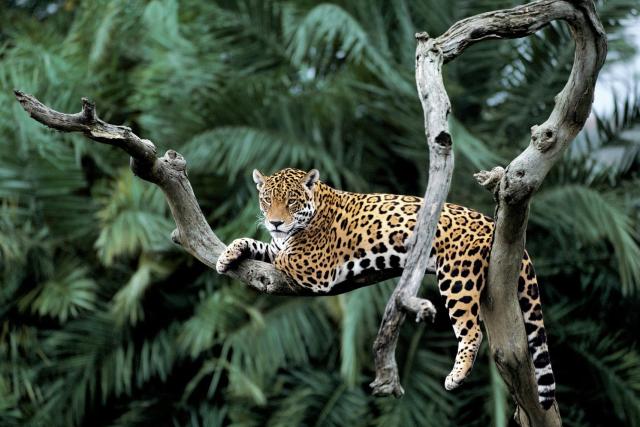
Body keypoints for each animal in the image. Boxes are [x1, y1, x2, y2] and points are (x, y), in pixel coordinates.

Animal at [216, 167, 556, 410]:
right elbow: (260, 245)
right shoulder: (280, 245)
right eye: (266, 200)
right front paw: (227, 254)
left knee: (471, 330)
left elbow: (282, 254)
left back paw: (456, 376)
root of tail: (490, 222)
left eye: (292, 201)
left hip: (457, 276)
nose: (275, 222)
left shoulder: (313, 266)